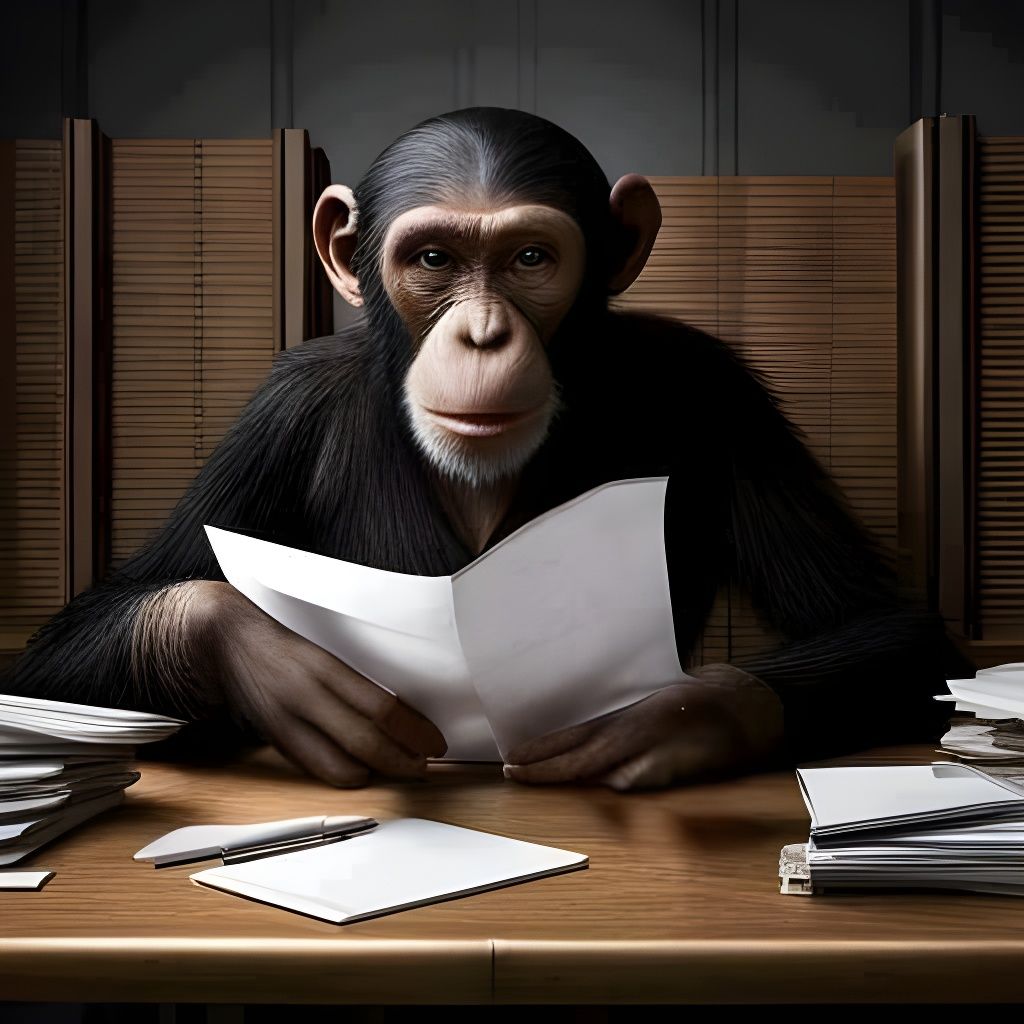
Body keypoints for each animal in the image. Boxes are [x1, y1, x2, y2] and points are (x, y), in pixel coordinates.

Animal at [2, 107, 975, 789]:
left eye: (531, 259)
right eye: (435, 258)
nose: (482, 333)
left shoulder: (720, 389)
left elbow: (890, 625)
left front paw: (670, 714)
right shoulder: (277, 413)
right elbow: (78, 639)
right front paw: (285, 675)